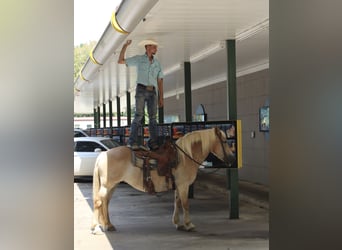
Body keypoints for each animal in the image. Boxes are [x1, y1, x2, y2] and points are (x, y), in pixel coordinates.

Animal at [91, 128, 235, 233]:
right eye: (224, 141)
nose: (232, 158)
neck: (185, 157)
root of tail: (104, 154)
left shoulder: (178, 186)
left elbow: (177, 203)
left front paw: (178, 223)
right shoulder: (184, 185)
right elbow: (185, 204)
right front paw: (189, 224)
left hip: (112, 185)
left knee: (106, 202)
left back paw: (108, 225)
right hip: (107, 186)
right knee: (99, 202)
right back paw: (96, 227)